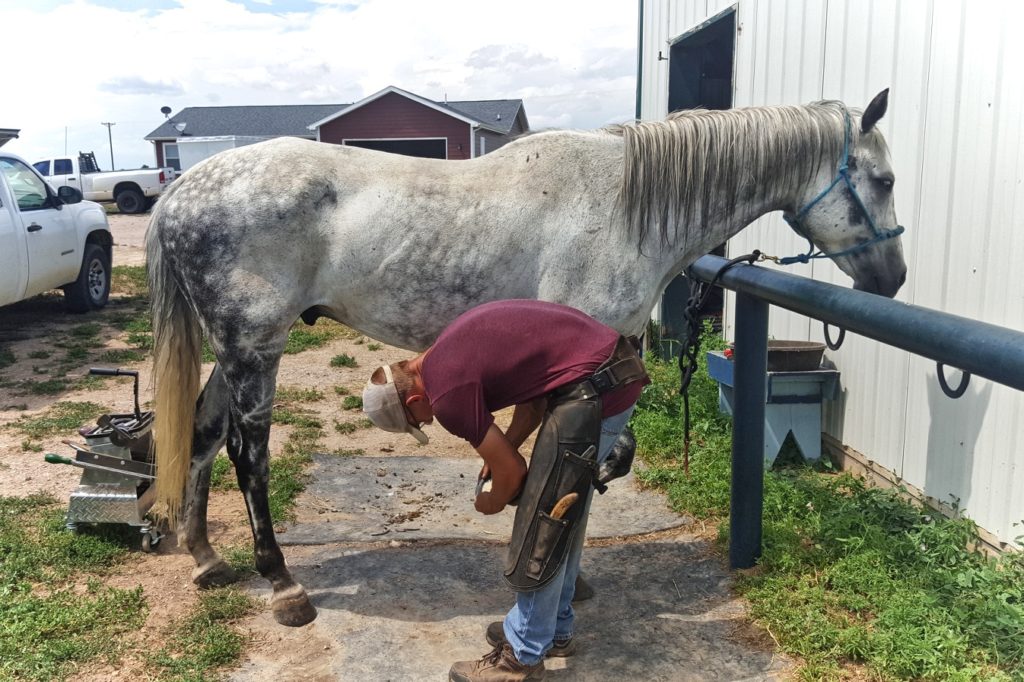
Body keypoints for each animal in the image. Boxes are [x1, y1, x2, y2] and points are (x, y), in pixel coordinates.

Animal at [146, 91, 905, 626]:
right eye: (886, 179)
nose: (893, 279)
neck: (627, 206)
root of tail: (181, 189)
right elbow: (583, 461)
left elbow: (606, 460)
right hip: (254, 346)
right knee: (247, 453)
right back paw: (282, 584)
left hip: (235, 351)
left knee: (202, 434)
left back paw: (205, 557)